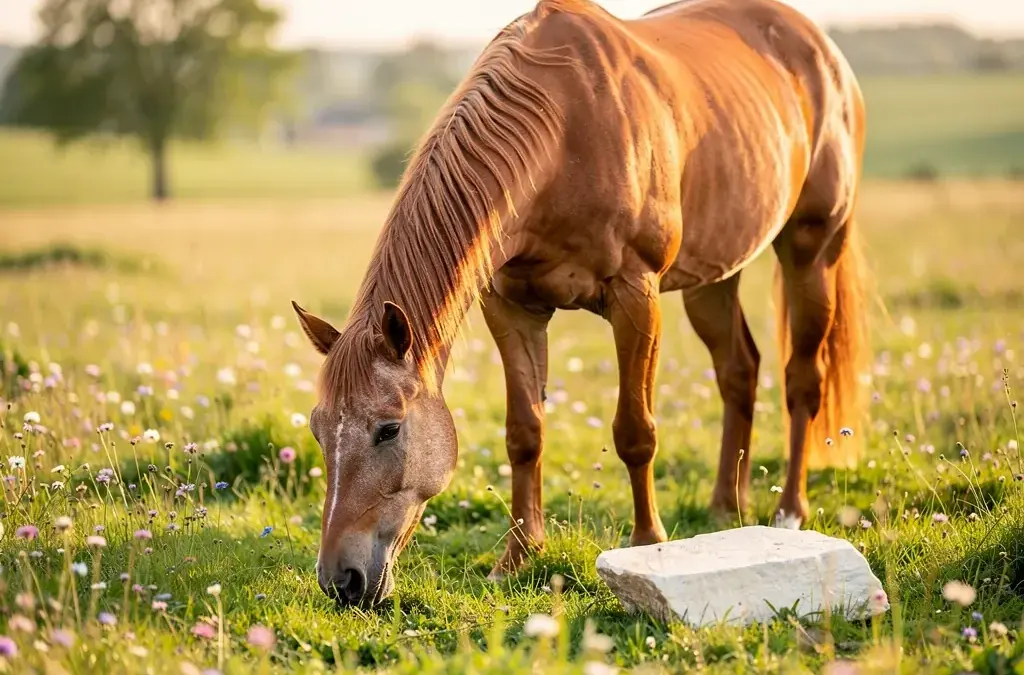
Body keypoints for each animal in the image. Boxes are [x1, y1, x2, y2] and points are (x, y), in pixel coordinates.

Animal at [292, 0, 869, 606]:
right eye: (318, 429)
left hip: (811, 251)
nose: (340, 581)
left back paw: (788, 512)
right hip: (713, 277)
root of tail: (820, 49)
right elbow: (524, 433)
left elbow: (635, 432)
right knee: (739, 371)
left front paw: (648, 544)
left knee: (801, 379)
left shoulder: (635, 295)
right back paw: (723, 508)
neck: (565, 132)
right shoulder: (511, 308)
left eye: (389, 429)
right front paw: (517, 558)